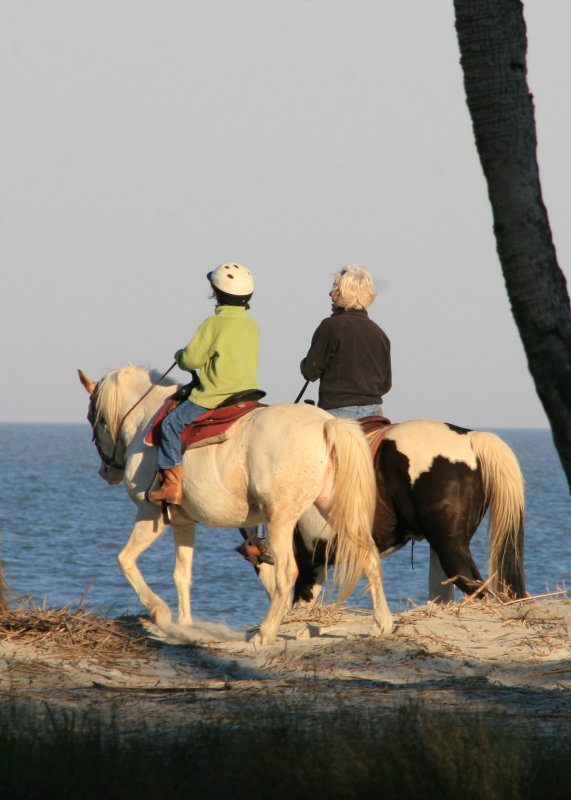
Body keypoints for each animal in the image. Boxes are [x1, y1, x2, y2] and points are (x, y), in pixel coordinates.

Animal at [77, 362, 394, 644]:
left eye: (93, 418)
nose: (107, 472)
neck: (148, 421)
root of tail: (326, 423)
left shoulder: (150, 514)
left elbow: (125, 560)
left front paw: (160, 612)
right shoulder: (183, 522)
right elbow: (182, 574)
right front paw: (185, 626)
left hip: (280, 519)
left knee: (286, 573)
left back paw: (265, 633)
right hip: (334, 509)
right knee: (368, 556)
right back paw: (382, 623)